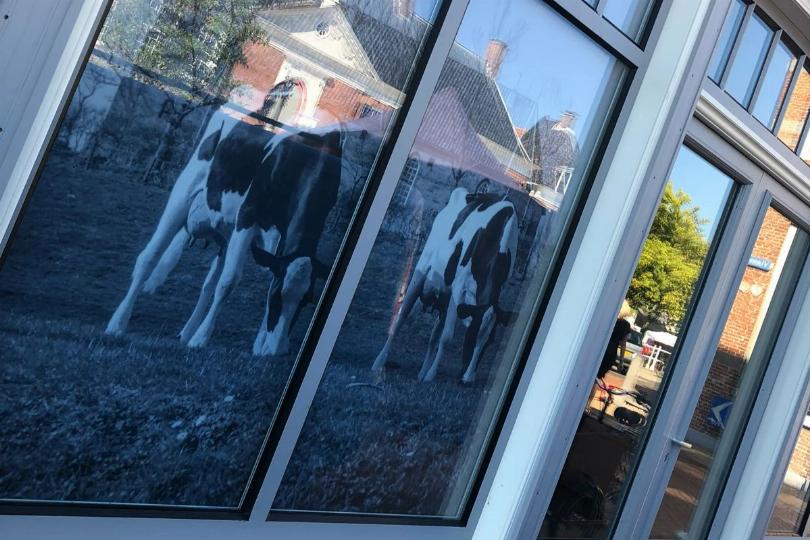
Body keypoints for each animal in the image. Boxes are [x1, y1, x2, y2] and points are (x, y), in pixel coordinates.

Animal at [371, 187, 518, 383]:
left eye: (490, 341)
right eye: (471, 335)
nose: (467, 380)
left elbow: (439, 337)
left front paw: (427, 374)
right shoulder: (458, 288)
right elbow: (447, 337)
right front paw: (431, 375)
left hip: (445, 295)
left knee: (433, 337)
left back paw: (421, 373)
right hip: (422, 270)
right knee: (402, 316)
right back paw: (379, 362)